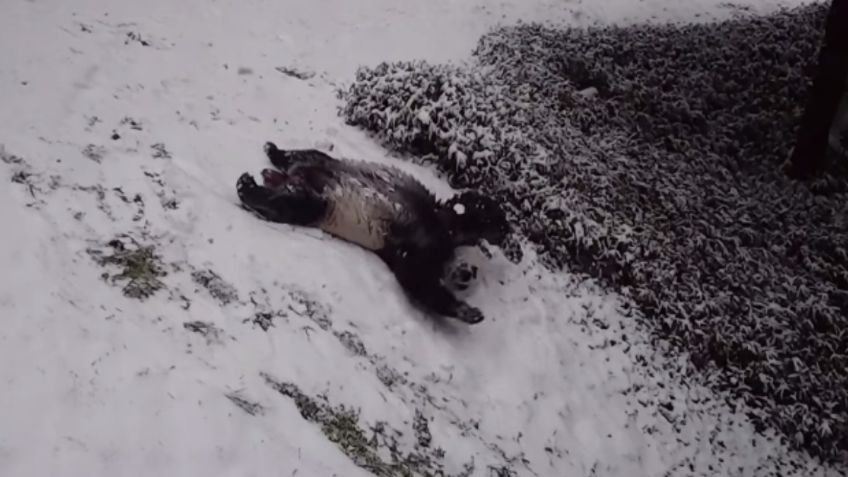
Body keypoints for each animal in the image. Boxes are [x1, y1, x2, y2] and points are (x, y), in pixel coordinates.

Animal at [235, 140, 510, 324]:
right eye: (468, 276)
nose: (468, 274)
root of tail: (290, 177)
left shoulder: (409, 248)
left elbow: (418, 279)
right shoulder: (430, 230)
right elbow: (465, 213)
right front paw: (469, 312)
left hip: (318, 194)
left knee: (296, 196)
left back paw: (259, 174)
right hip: (332, 182)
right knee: (304, 175)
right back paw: (259, 169)